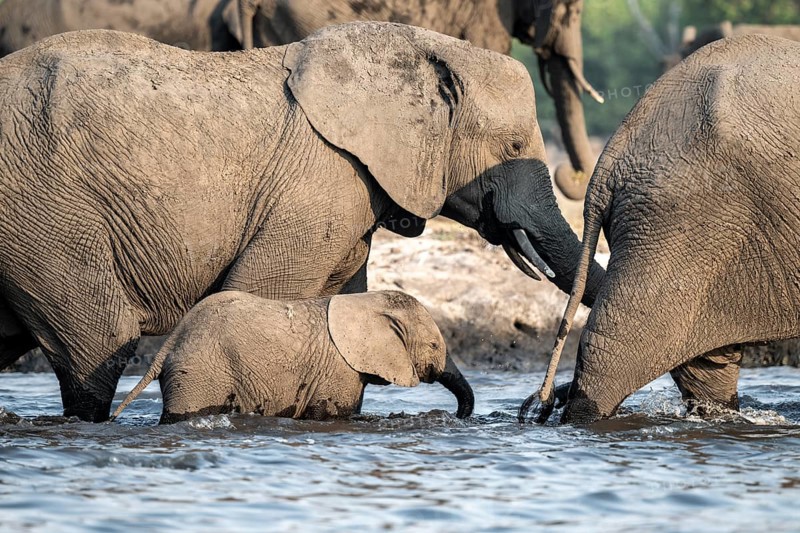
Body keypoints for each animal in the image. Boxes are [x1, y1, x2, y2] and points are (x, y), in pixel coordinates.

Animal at [111, 291, 474, 423]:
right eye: (434, 346)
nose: (457, 416)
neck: (367, 300)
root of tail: (168, 345)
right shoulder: (338, 371)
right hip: (201, 375)